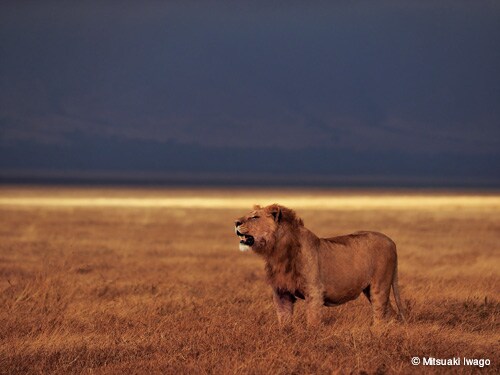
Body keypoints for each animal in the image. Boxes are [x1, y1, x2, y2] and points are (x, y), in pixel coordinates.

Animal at [235, 204, 406, 328]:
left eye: (255, 217)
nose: (235, 222)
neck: (277, 251)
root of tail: (391, 241)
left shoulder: (314, 291)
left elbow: (312, 320)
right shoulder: (281, 293)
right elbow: (284, 320)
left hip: (379, 285)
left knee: (380, 312)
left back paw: (377, 331)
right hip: (370, 289)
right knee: (390, 311)